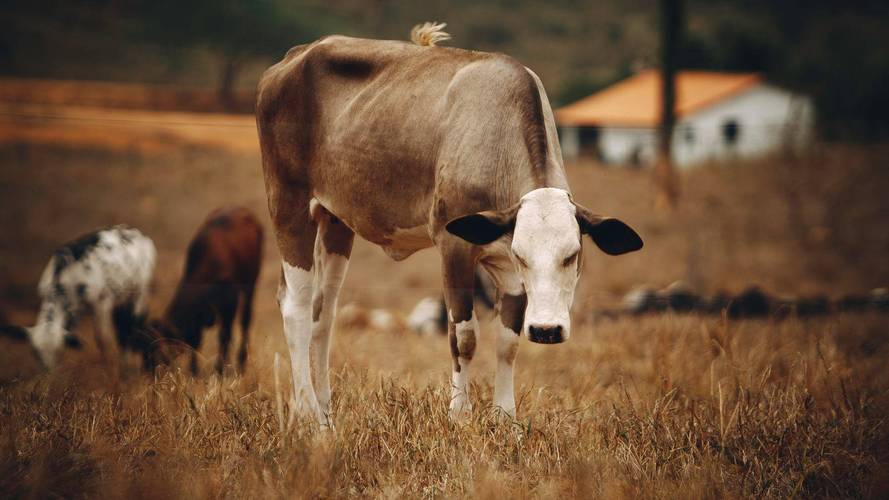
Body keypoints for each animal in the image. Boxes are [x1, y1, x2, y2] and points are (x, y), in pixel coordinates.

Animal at [0, 227, 156, 372]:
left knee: (133, 323)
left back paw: (125, 365)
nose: (48, 372)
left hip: (140, 292)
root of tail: (134, 232)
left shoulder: (102, 302)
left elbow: (103, 339)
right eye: (34, 352)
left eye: (58, 351)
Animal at [156, 205, 262, 374]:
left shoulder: (229, 301)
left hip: (251, 284)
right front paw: (194, 371)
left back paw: (241, 362)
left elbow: (224, 335)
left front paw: (220, 369)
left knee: (245, 321)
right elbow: (195, 341)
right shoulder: (197, 316)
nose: (154, 370)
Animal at [253, 21, 640, 424]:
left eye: (573, 254)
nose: (546, 329)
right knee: (296, 308)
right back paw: (308, 414)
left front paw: (506, 418)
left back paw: (324, 411)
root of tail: (296, 55)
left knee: (322, 313)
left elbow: (508, 342)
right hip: (289, 206)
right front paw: (459, 414)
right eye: (523, 255)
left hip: (335, 222)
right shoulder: (455, 248)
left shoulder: (505, 269)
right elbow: (464, 336)